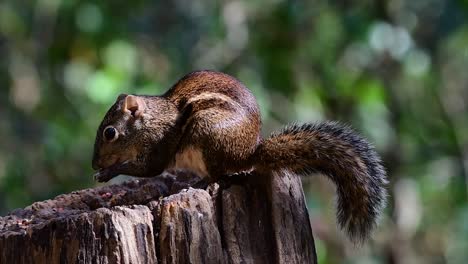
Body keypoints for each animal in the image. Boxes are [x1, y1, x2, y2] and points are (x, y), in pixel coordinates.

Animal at [91, 70, 388, 243]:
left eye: (109, 132)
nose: (94, 163)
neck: (151, 120)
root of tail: (249, 154)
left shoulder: (159, 144)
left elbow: (150, 168)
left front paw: (107, 172)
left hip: (207, 132)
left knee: (219, 176)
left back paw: (199, 183)